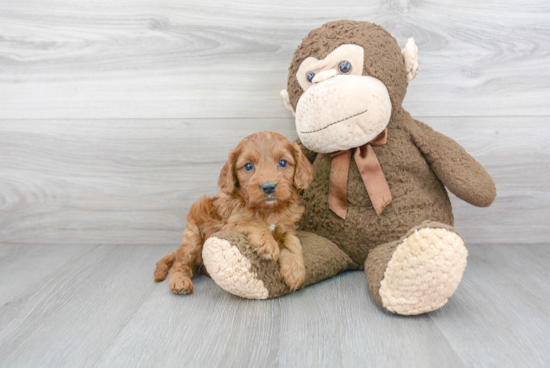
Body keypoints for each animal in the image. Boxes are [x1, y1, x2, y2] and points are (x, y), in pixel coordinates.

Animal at [154, 131, 314, 294]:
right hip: (193, 238)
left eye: (282, 163)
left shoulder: (288, 227)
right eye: (248, 166)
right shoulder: (229, 225)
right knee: (180, 263)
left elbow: (292, 242)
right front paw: (267, 243)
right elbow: (255, 223)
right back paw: (180, 281)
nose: (268, 187)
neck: (268, 210)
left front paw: (295, 271)